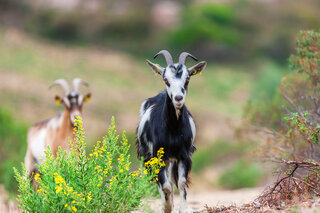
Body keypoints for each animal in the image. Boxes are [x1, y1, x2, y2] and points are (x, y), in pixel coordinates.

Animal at [136, 50, 206, 213]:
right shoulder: (157, 155)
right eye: (165, 79)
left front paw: (183, 208)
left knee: (172, 180)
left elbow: (181, 182)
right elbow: (165, 185)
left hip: (170, 159)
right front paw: (167, 207)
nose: (178, 98)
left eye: (187, 78)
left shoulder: (183, 155)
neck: (173, 130)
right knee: (161, 182)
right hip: (150, 157)